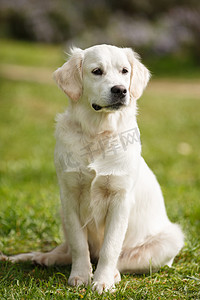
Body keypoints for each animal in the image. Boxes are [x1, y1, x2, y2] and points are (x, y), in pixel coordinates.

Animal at [1, 44, 184, 292]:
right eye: (97, 71)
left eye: (125, 71)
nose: (120, 90)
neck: (98, 134)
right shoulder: (69, 196)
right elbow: (79, 245)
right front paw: (80, 276)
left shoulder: (120, 199)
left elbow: (110, 247)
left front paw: (103, 281)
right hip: (62, 213)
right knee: (69, 250)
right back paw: (44, 257)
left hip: (170, 241)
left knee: (121, 259)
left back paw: (112, 274)